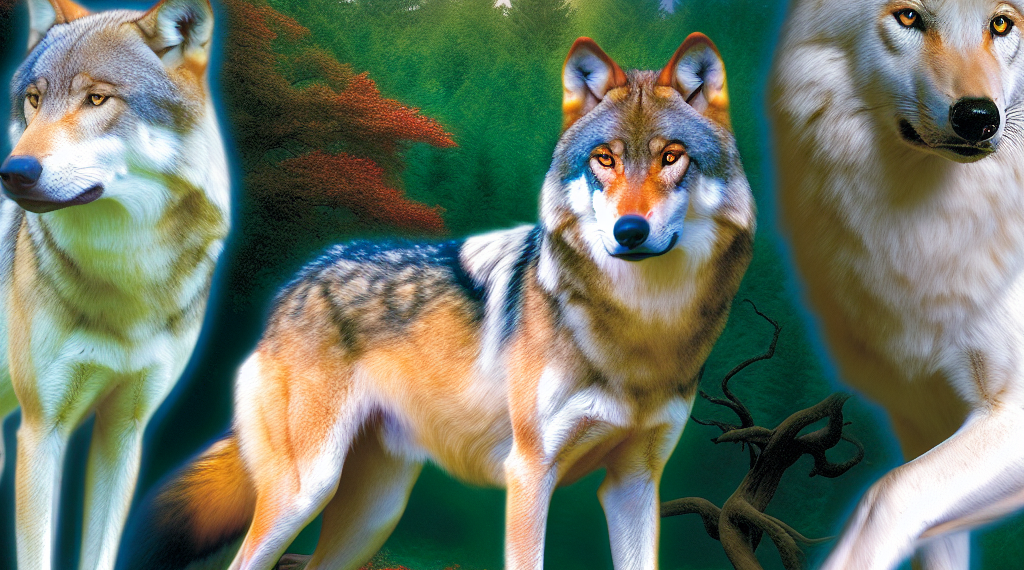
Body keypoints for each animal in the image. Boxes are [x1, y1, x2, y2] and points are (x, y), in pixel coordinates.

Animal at [0, 0, 230, 569]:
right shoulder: (40, 430)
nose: (14, 172)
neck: (126, 276)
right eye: (34, 100)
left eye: (97, 98)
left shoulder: (125, 430)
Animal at [122, 33, 754, 570]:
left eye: (672, 157)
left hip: (372, 518)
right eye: (604, 159)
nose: (629, 231)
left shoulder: (634, 485)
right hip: (306, 491)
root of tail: (296, 283)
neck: (644, 323)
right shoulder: (530, 473)